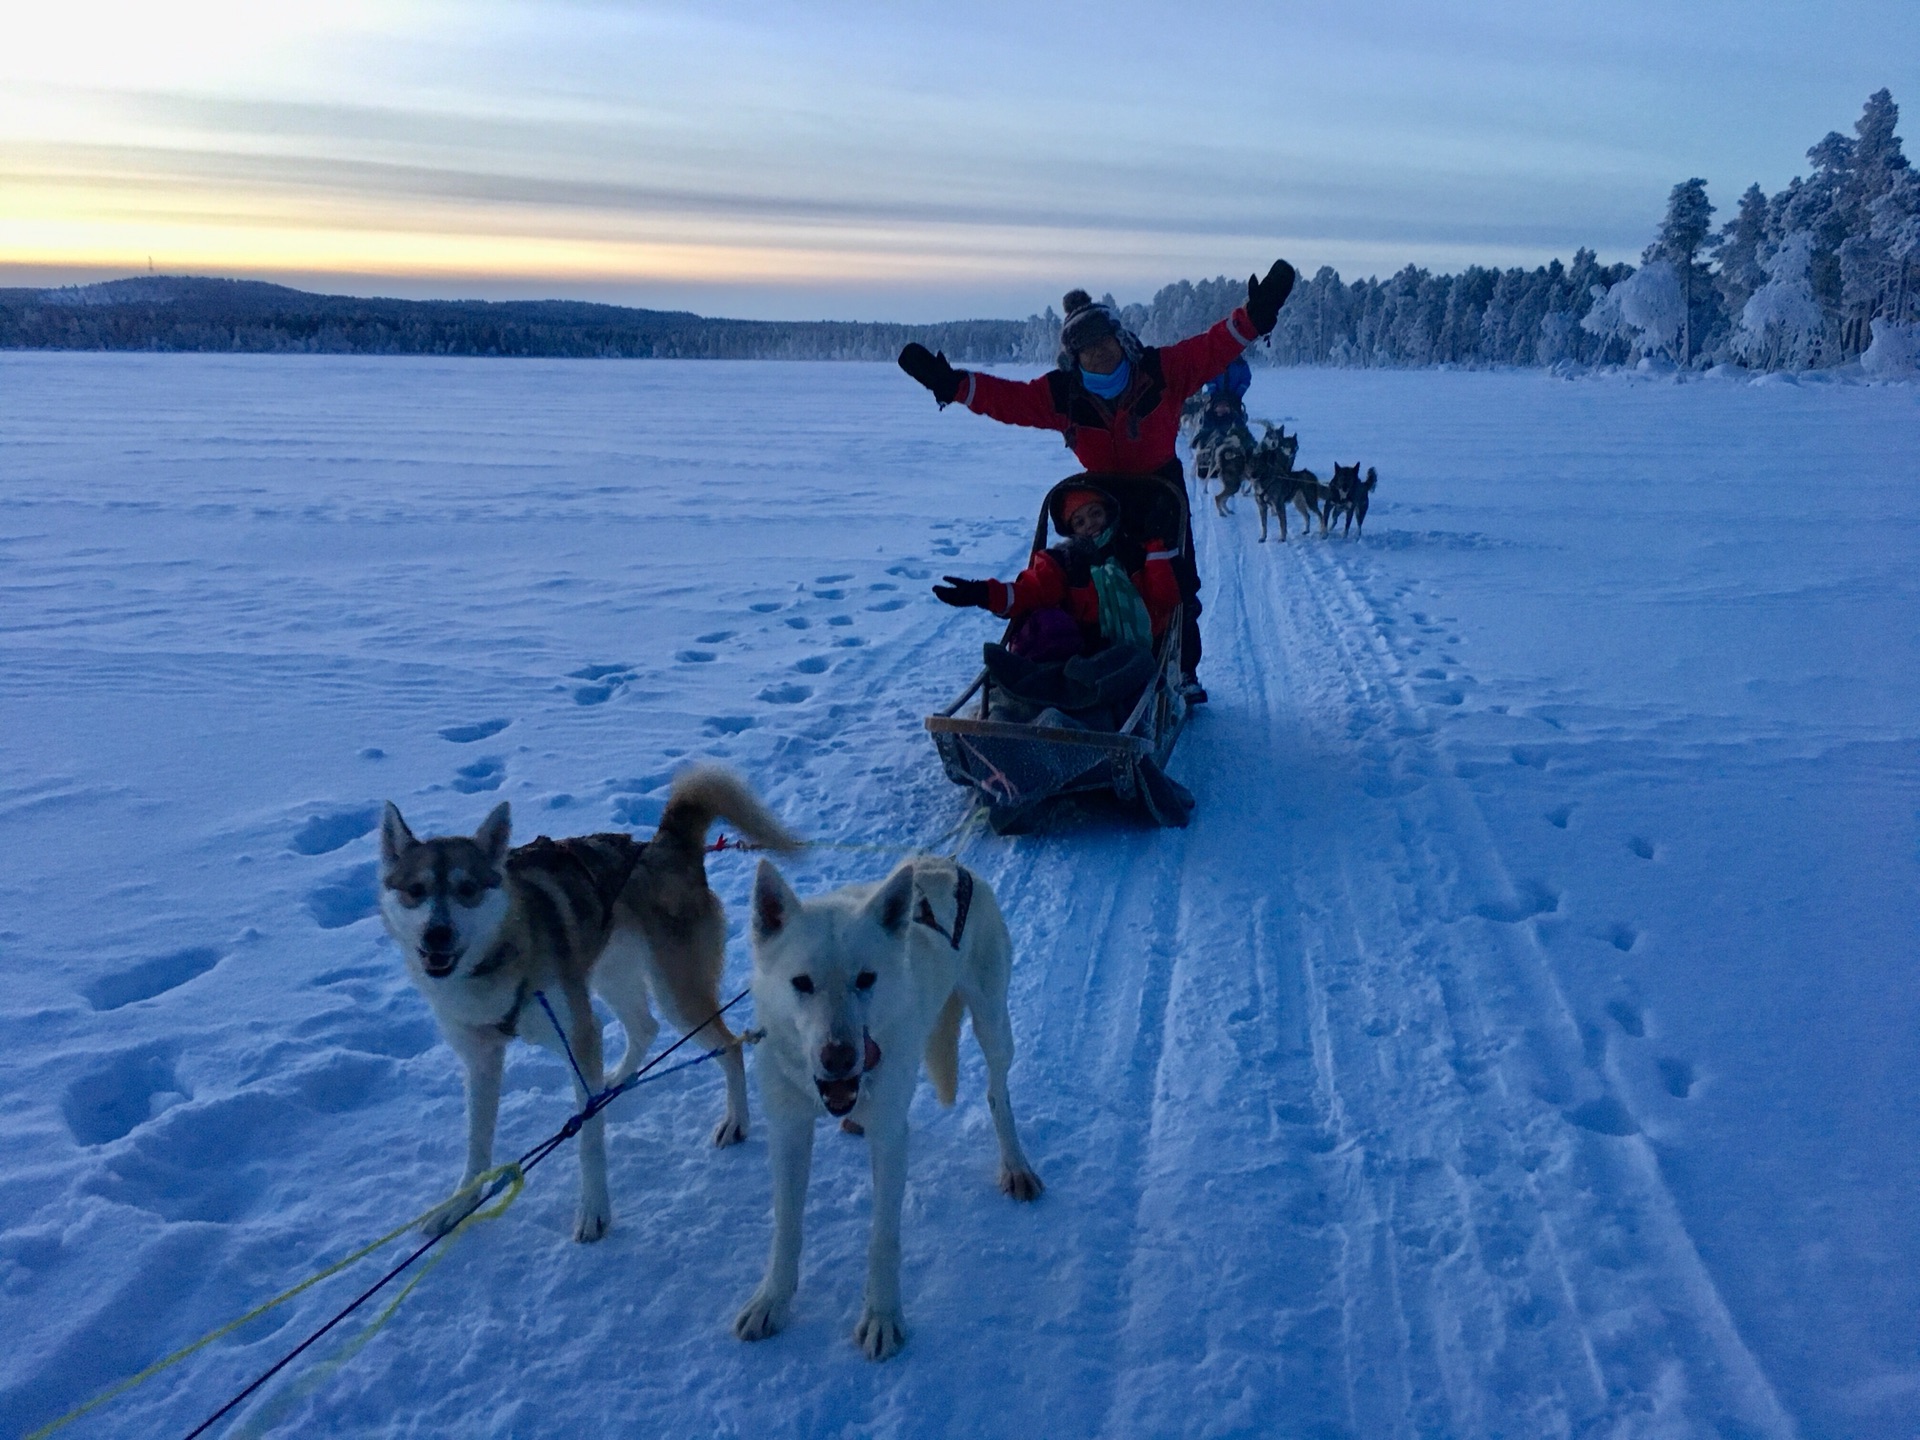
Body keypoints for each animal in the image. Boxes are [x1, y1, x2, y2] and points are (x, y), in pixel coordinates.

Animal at [378, 771, 798, 1244]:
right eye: (415, 891)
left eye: (466, 889)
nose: (437, 934)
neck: (497, 960)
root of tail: (663, 845)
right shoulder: (482, 1057)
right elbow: (477, 1144)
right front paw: (460, 1204)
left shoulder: (577, 1038)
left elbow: (588, 1139)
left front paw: (594, 1211)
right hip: (610, 978)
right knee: (645, 1028)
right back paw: (619, 1079)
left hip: (676, 995)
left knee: (730, 1045)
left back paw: (736, 1121)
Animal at [733, 856, 1044, 1367]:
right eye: (801, 983)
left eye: (866, 979)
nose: (839, 1057)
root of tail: (952, 865)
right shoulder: (789, 1130)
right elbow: (786, 1227)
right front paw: (772, 1300)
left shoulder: (892, 1139)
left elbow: (883, 1240)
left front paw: (881, 1317)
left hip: (994, 1026)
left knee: (998, 1098)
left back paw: (1016, 1164)